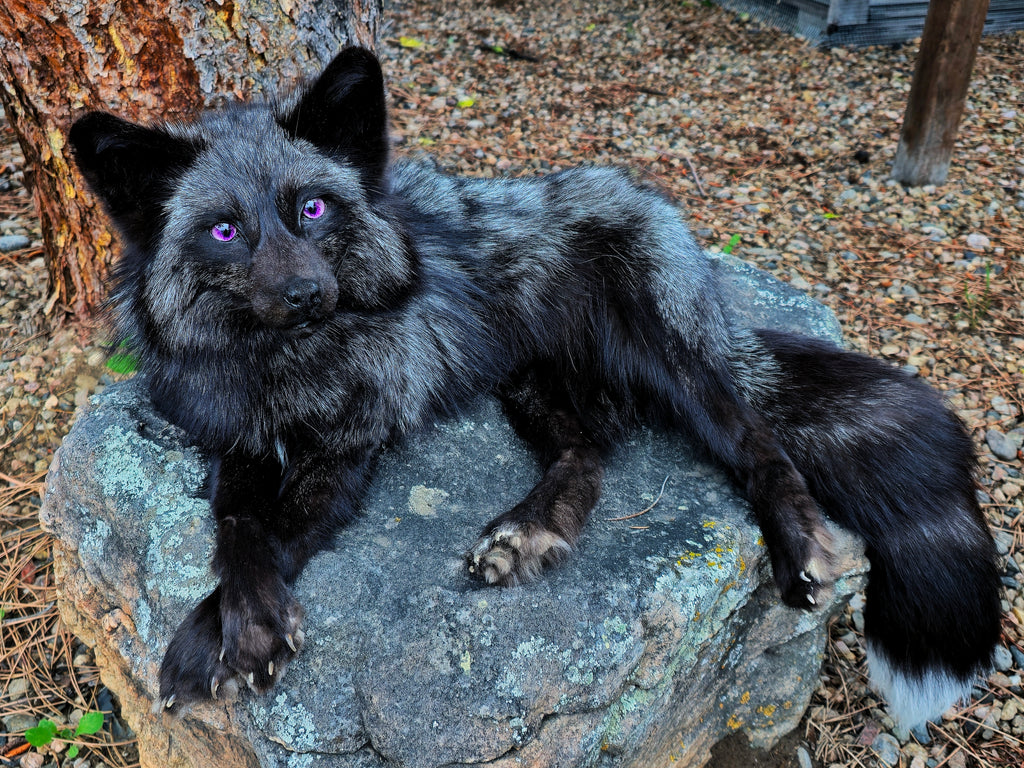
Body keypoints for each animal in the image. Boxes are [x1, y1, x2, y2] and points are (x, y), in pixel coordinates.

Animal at [68, 46, 1001, 729]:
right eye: (225, 230)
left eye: (313, 210)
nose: (305, 295)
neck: (282, 370)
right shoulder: (235, 443)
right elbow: (237, 529)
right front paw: (228, 624)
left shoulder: (352, 446)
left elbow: (280, 533)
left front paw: (226, 636)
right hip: (528, 386)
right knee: (588, 457)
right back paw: (531, 530)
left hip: (666, 356)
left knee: (755, 442)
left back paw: (797, 541)